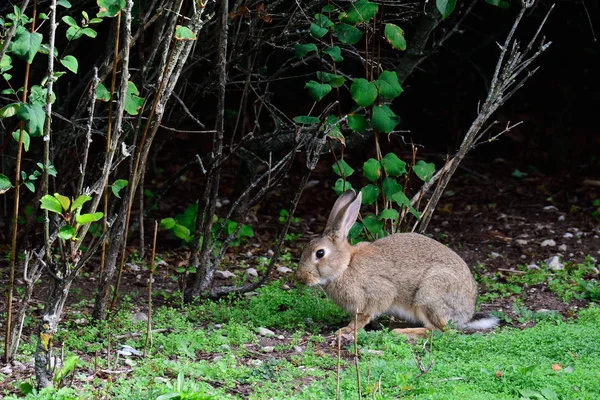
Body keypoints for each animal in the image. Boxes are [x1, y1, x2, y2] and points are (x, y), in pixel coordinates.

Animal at [296, 190, 496, 338]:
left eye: (320, 253)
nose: (300, 277)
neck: (345, 266)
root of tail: (466, 314)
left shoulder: (377, 294)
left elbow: (364, 316)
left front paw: (346, 330)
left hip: (430, 294)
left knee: (440, 330)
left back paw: (401, 331)